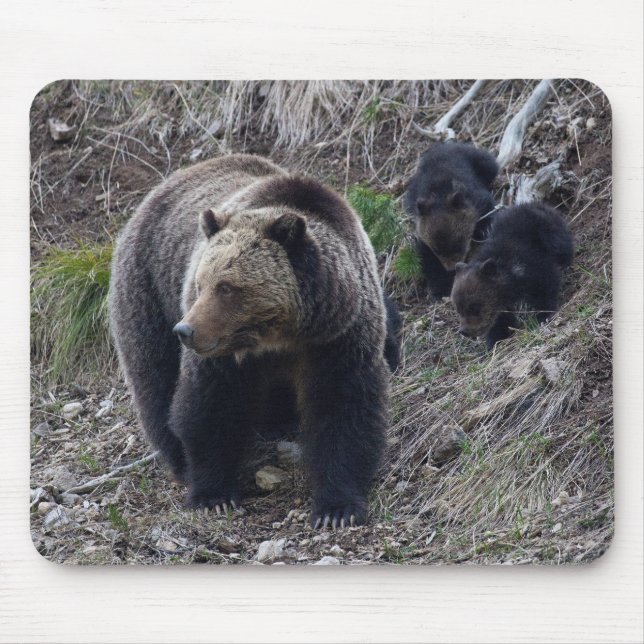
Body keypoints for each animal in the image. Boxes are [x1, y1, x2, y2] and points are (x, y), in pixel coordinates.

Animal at [109, 153, 395, 529]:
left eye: (227, 287)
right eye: (201, 283)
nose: (186, 330)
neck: (281, 335)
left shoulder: (338, 338)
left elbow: (344, 409)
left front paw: (337, 508)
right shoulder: (223, 353)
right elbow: (210, 406)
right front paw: (213, 495)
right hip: (148, 289)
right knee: (154, 378)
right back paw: (178, 459)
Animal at [403, 142, 499, 298]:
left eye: (458, 243)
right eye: (437, 249)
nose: (451, 268)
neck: (439, 195)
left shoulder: (475, 198)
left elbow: (488, 208)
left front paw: (485, 229)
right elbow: (426, 257)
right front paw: (440, 287)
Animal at [450, 202, 574, 349]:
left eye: (474, 307)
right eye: (458, 309)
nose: (464, 331)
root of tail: (532, 204)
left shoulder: (533, 266)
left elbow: (545, 287)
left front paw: (542, 316)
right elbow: (500, 319)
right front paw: (495, 339)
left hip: (548, 231)